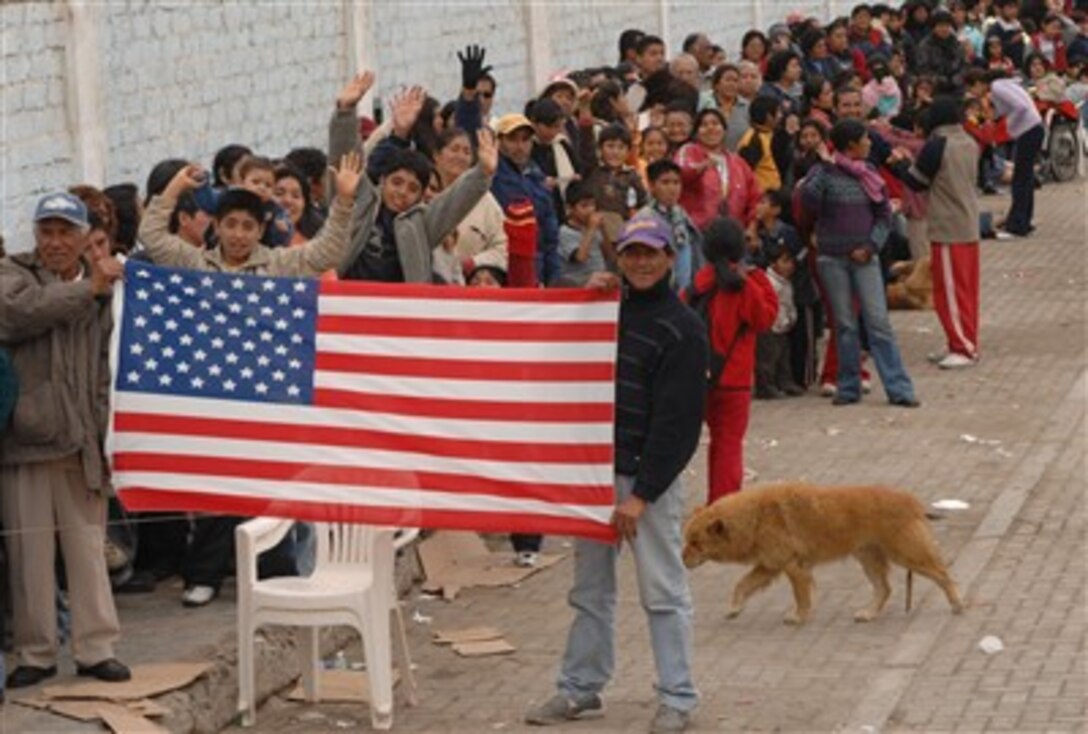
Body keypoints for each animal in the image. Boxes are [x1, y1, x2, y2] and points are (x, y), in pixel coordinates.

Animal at [683, 484, 966, 621]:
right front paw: (734, 609)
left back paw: (957, 603)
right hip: (868, 558)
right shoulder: (770, 566)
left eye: (696, 543)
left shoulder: (792, 567)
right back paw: (869, 613)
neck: (755, 516)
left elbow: (801, 597)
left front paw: (799, 617)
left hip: (907, 554)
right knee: (884, 589)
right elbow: (741, 585)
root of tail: (913, 503)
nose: (682, 560)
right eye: (687, 540)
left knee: (943, 574)